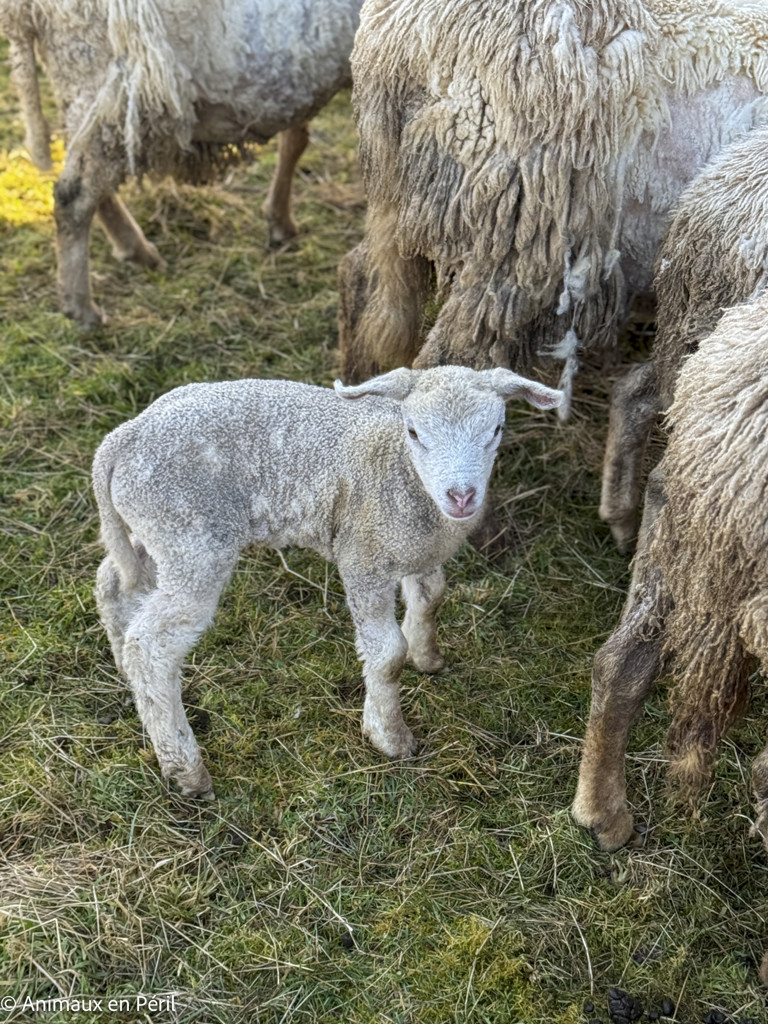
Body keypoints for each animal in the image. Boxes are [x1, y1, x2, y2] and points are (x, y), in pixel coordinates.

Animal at [0, 0, 362, 326]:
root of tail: (25, 10)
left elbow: (296, 139)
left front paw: (279, 220)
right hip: (101, 77)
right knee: (73, 196)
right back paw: (82, 307)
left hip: (83, 93)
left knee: (88, 182)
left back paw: (135, 250)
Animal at [92, 365, 563, 797]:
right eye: (414, 432)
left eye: (496, 430)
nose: (461, 496)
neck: (402, 474)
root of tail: (123, 437)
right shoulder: (363, 557)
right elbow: (387, 655)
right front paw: (390, 736)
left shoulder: (416, 550)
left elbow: (431, 598)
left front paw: (427, 657)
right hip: (193, 537)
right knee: (151, 646)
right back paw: (185, 769)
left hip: (158, 530)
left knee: (114, 577)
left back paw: (124, 670)